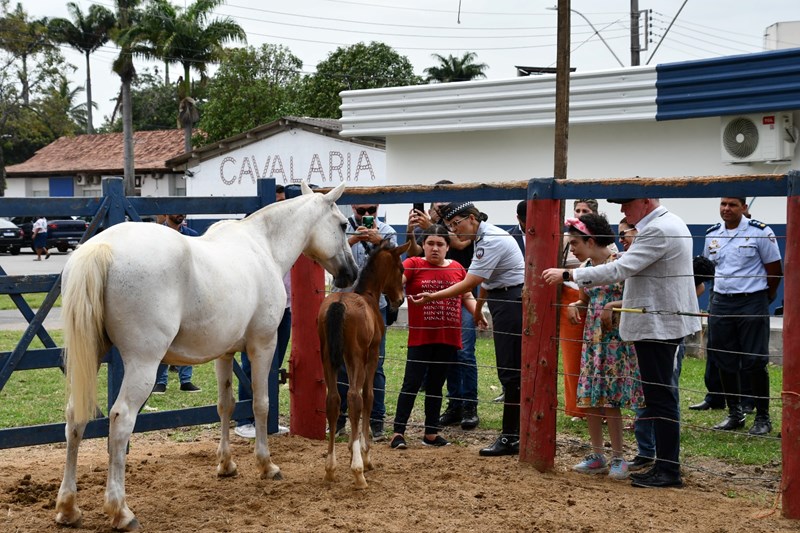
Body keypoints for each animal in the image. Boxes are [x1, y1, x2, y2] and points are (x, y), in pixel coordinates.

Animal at [55, 182, 356, 528]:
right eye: (342, 225)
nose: (351, 273)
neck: (263, 246)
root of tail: (102, 247)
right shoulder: (262, 345)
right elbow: (261, 404)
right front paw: (266, 465)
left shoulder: (224, 354)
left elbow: (225, 405)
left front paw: (226, 465)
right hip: (143, 364)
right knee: (121, 421)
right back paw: (121, 510)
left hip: (90, 357)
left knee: (74, 418)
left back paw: (68, 507)